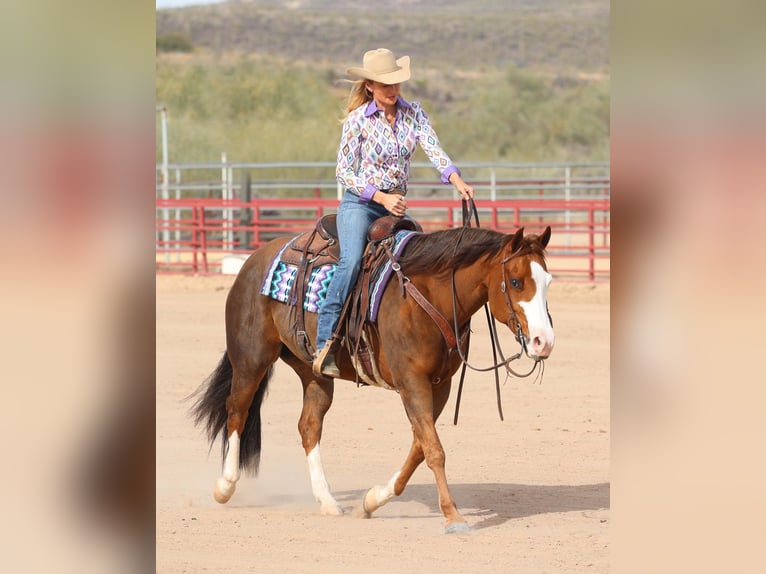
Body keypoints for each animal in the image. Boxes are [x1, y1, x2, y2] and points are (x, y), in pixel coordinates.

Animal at [189, 222, 556, 536]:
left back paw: (327, 501)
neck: (426, 296)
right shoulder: (412, 381)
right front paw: (453, 517)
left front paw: (371, 501)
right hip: (250, 359)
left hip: (313, 372)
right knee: (236, 410)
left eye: (548, 281)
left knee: (309, 426)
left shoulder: (440, 385)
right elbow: (434, 449)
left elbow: (420, 448)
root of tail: (255, 260)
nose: (544, 341)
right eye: (516, 281)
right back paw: (224, 486)